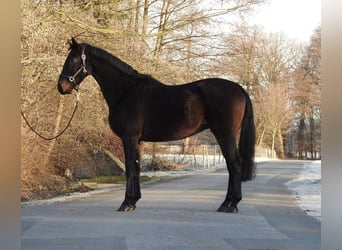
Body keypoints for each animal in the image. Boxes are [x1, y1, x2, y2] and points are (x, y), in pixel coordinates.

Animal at [57, 38, 255, 214]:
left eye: (73, 59)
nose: (61, 86)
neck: (126, 91)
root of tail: (239, 88)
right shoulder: (137, 140)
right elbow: (136, 168)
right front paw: (134, 200)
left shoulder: (129, 137)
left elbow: (129, 168)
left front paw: (126, 203)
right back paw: (228, 203)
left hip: (225, 134)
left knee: (234, 165)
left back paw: (231, 204)